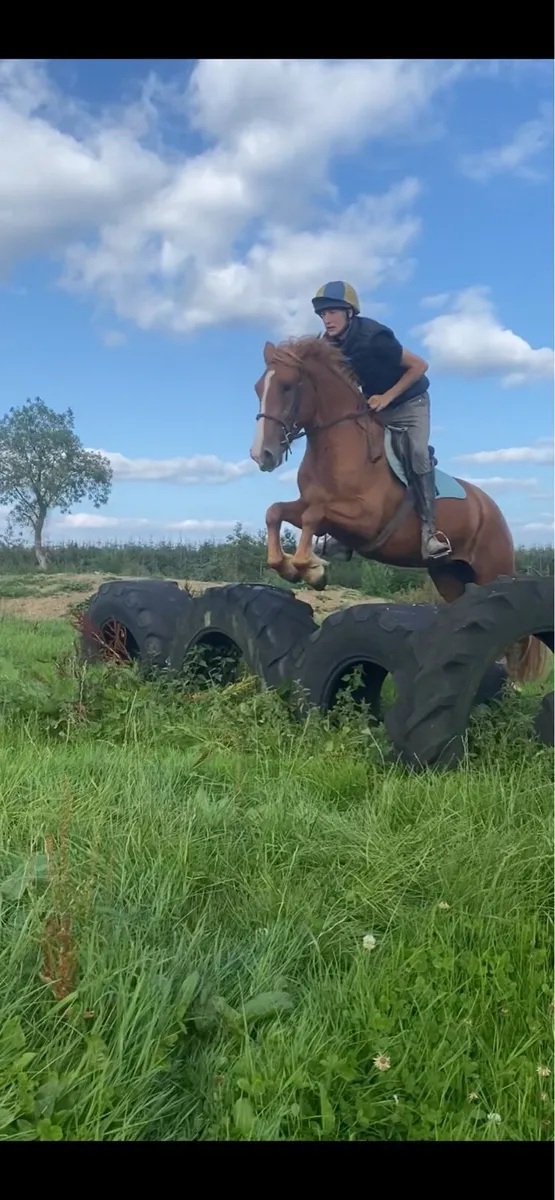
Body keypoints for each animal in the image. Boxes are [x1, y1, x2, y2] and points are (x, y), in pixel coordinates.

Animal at [249, 334, 549, 685]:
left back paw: (515, 685)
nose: (262, 455)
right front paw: (289, 566)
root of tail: (491, 508)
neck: (337, 447)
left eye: (286, 386)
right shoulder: (312, 506)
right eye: (258, 388)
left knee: (513, 633)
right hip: (449, 576)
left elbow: (312, 517)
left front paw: (311, 567)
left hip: (492, 571)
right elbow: (276, 512)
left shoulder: (365, 520)